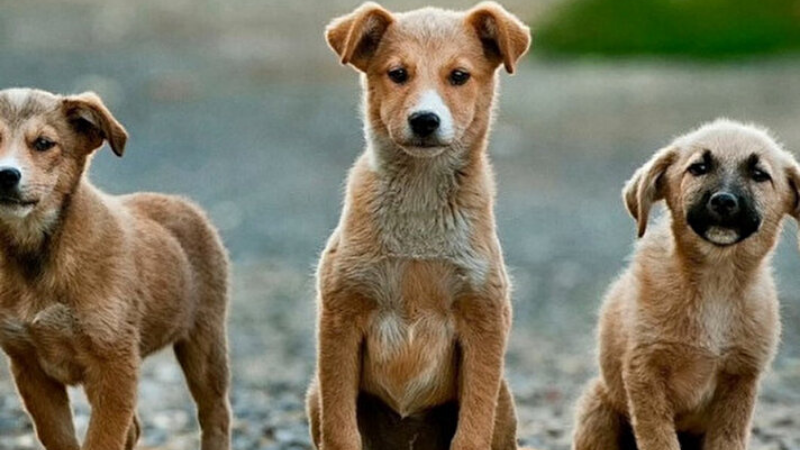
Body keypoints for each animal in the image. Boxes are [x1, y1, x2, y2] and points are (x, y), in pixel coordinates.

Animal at [0, 88, 231, 450]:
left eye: (43, 144)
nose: (5, 175)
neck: (39, 255)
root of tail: (184, 203)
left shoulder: (114, 363)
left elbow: (103, 439)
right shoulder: (29, 366)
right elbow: (61, 438)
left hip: (205, 342)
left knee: (216, 415)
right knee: (134, 428)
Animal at [306, 3, 532, 450]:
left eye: (459, 76)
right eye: (398, 73)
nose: (425, 120)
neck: (420, 201)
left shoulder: (484, 318)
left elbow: (472, 430)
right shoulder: (340, 314)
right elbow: (341, 429)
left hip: (504, 400)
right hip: (313, 393)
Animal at [572, 119, 792, 450]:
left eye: (759, 174)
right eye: (698, 168)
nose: (724, 201)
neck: (716, 281)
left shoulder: (741, 378)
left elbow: (728, 439)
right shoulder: (645, 371)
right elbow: (658, 438)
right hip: (597, 411)